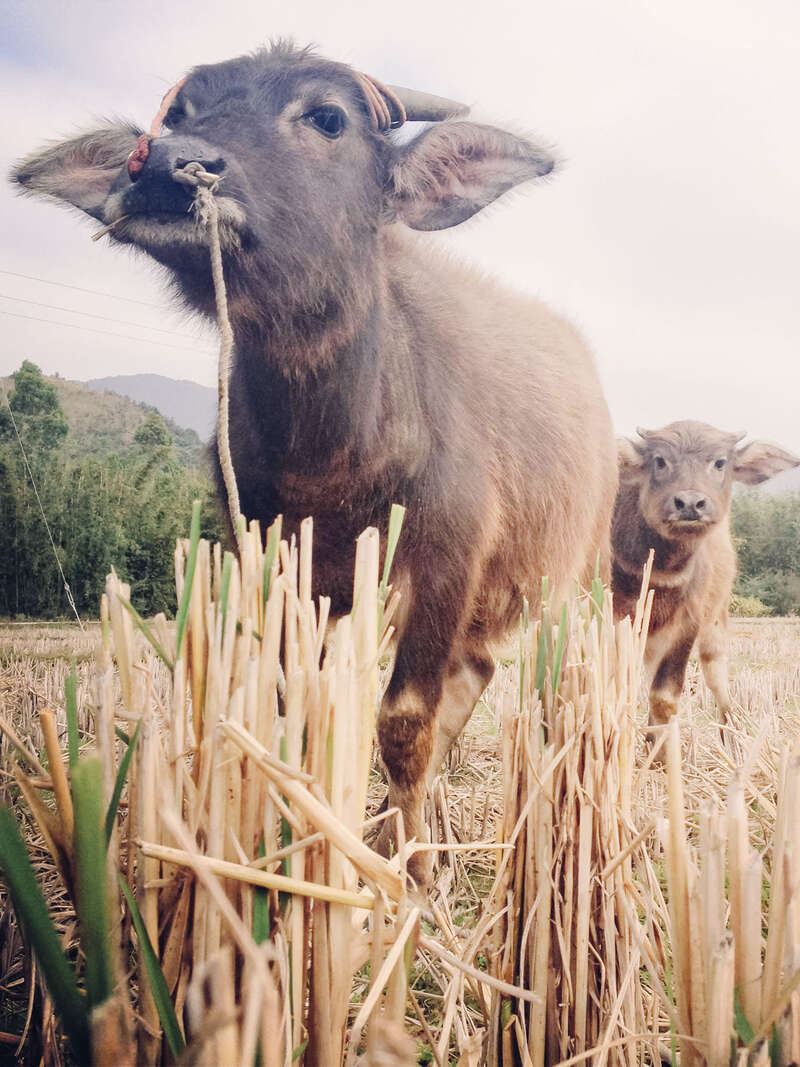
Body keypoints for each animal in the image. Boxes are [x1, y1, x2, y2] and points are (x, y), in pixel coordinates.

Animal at [14, 41, 618, 883]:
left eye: (328, 118)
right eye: (180, 111)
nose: (165, 165)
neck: (332, 452)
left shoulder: (448, 561)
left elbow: (404, 720)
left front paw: (413, 872)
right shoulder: (273, 554)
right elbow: (292, 708)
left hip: (569, 583)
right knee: (475, 673)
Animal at [618, 418, 797, 742]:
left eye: (720, 462)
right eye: (659, 460)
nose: (690, 503)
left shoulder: (688, 623)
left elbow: (665, 697)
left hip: (715, 622)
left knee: (716, 676)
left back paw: (731, 735)